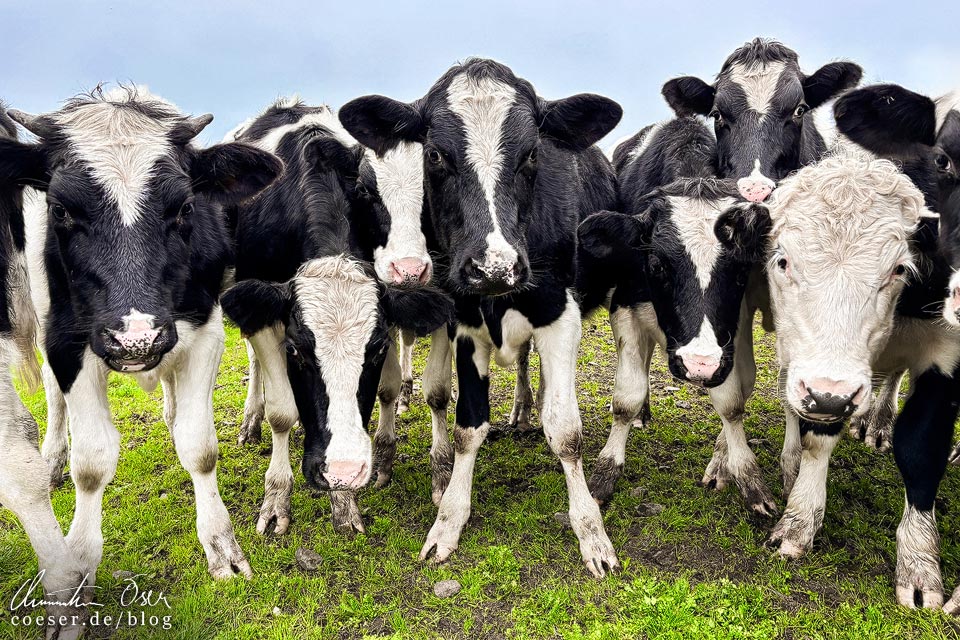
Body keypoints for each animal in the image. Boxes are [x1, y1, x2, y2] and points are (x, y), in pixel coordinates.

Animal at [0, 87, 282, 583]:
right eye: (60, 209)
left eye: (185, 207)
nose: (136, 339)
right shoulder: (67, 343)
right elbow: (91, 463)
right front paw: (79, 563)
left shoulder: (203, 330)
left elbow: (199, 446)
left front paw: (220, 545)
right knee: (53, 397)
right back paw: (51, 457)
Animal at [219, 98, 452, 534]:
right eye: (295, 351)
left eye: (375, 350)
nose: (343, 470)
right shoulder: (264, 308)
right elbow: (282, 412)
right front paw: (276, 498)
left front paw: (344, 504)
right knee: (255, 365)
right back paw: (250, 421)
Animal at [339, 58, 623, 576]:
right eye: (435, 155)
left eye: (532, 154)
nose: (494, 267)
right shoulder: (467, 326)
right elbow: (467, 427)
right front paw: (448, 521)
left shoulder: (560, 313)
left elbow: (566, 431)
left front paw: (591, 532)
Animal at [578, 117, 777, 512]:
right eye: (656, 263)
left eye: (739, 270)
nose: (699, 365)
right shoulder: (625, 306)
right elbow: (626, 396)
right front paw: (605, 472)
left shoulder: (731, 328)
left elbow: (732, 401)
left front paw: (748, 476)